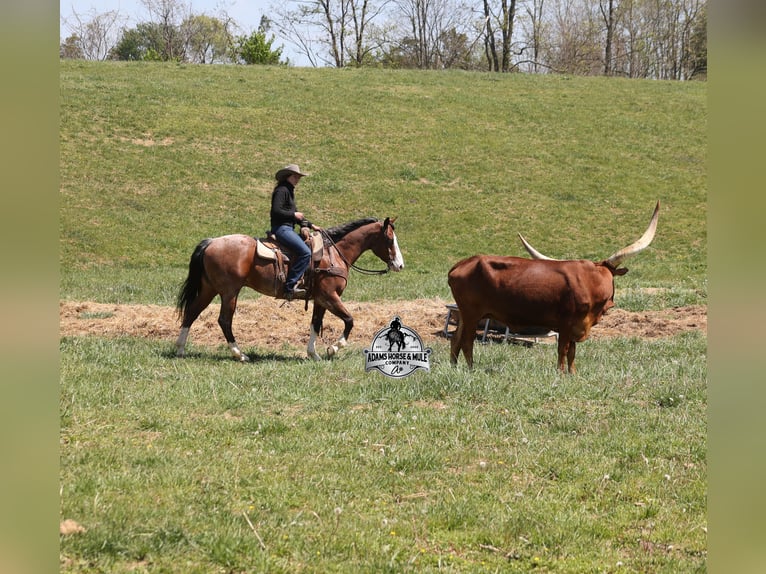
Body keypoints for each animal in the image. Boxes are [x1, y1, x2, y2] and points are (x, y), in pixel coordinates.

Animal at [175, 217, 404, 361]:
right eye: (389, 238)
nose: (400, 265)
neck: (333, 254)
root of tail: (211, 242)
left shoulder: (320, 299)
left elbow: (315, 324)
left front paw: (314, 354)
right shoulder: (330, 296)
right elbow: (349, 320)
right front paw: (333, 348)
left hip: (209, 289)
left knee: (192, 312)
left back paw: (180, 349)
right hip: (229, 292)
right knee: (224, 320)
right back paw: (239, 354)